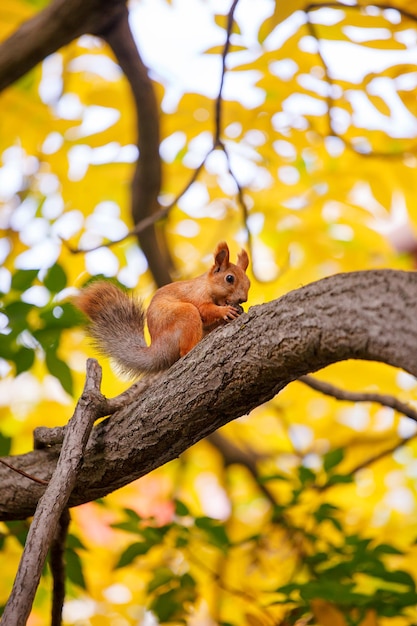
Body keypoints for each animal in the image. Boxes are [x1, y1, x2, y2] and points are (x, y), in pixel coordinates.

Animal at [75, 239, 249, 376]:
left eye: (248, 283)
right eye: (229, 278)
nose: (243, 299)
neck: (207, 285)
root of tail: (158, 347)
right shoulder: (197, 295)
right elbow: (205, 310)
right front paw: (225, 311)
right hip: (184, 315)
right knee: (185, 349)